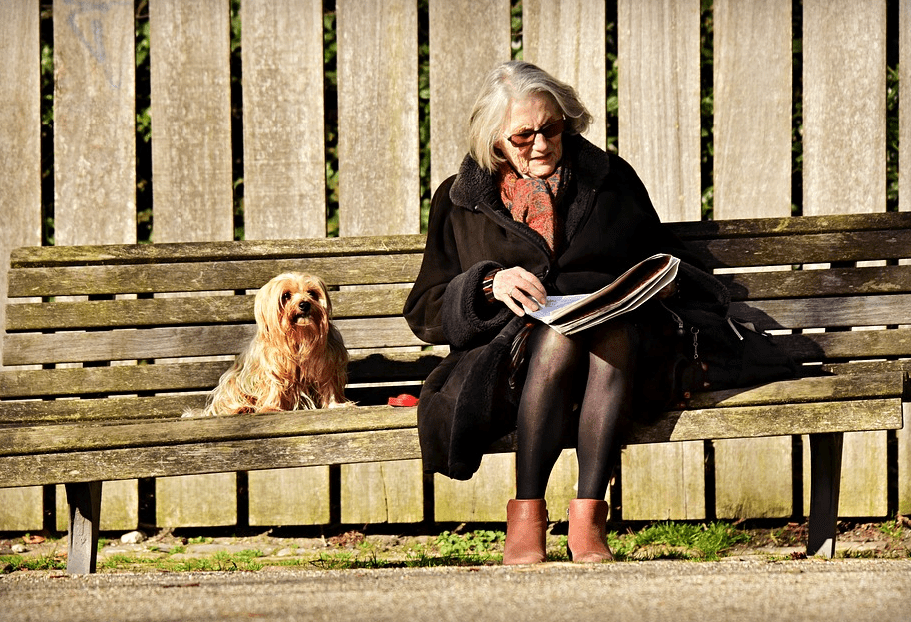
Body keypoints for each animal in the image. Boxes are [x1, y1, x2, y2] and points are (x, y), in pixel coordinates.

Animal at [191, 274, 348, 416]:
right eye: (286, 295)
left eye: (312, 293)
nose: (304, 304)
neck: (300, 336)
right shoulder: (273, 366)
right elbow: (274, 385)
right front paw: (272, 407)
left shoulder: (328, 363)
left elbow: (329, 384)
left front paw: (335, 404)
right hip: (233, 381)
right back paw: (241, 408)